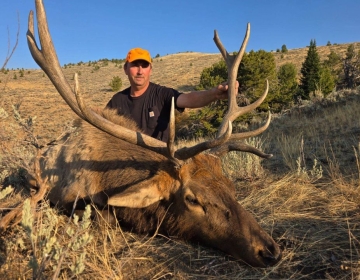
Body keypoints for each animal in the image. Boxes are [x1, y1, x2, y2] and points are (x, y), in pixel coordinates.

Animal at [27, 0, 282, 268]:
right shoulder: (67, 198)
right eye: (192, 199)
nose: (269, 250)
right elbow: (102, 217)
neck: (105, 178)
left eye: (231, 187)